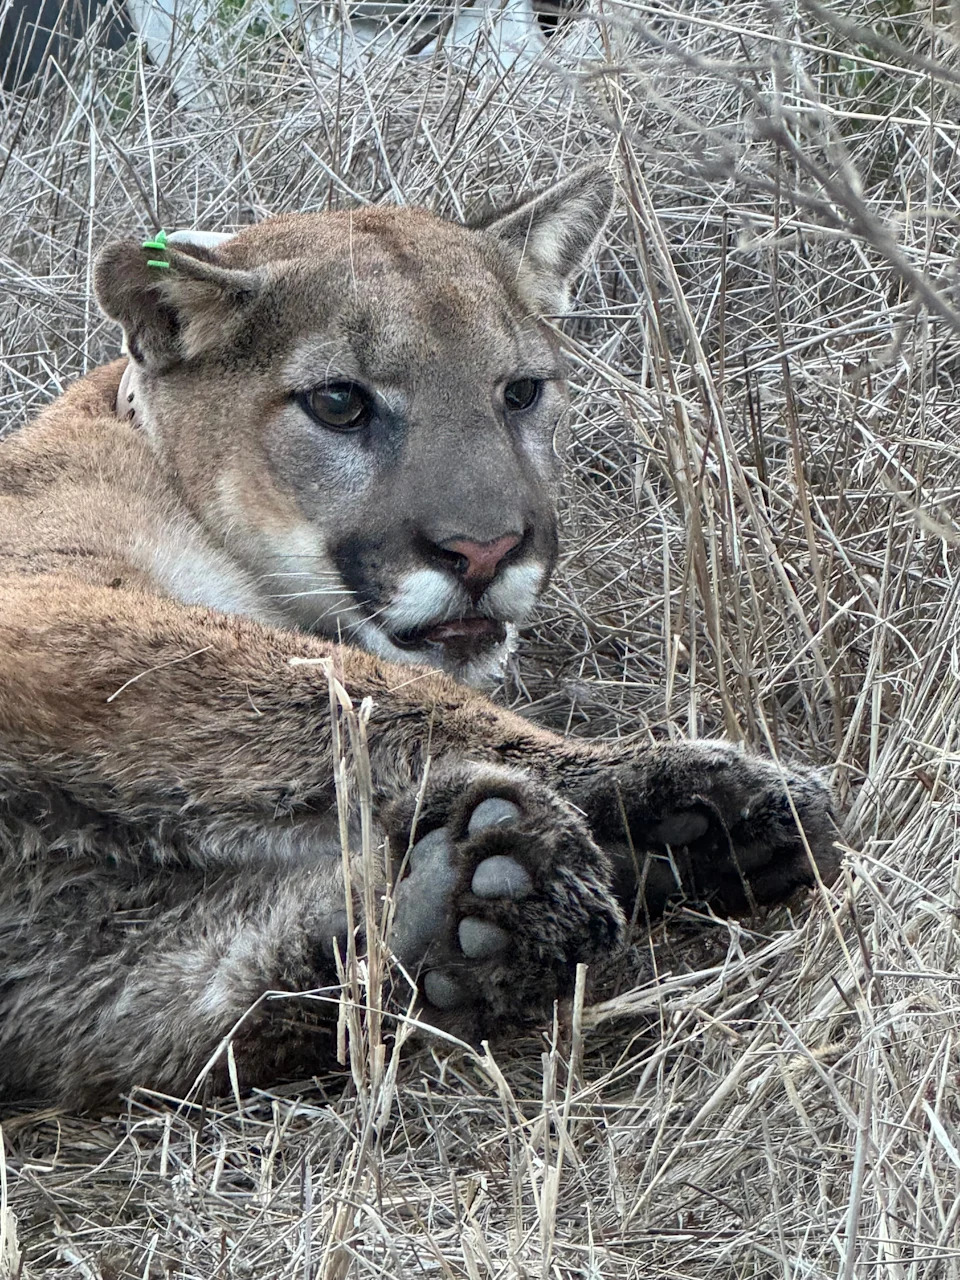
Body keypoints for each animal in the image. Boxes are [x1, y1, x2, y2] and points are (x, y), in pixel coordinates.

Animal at [0, 167, 837, 1108]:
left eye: (521, 391)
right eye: (339, 402)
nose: (486, 549)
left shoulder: (46, 957)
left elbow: (167, 1004)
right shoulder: (50, 608)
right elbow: (371, 693)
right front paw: (686, 782)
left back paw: (463, 909)